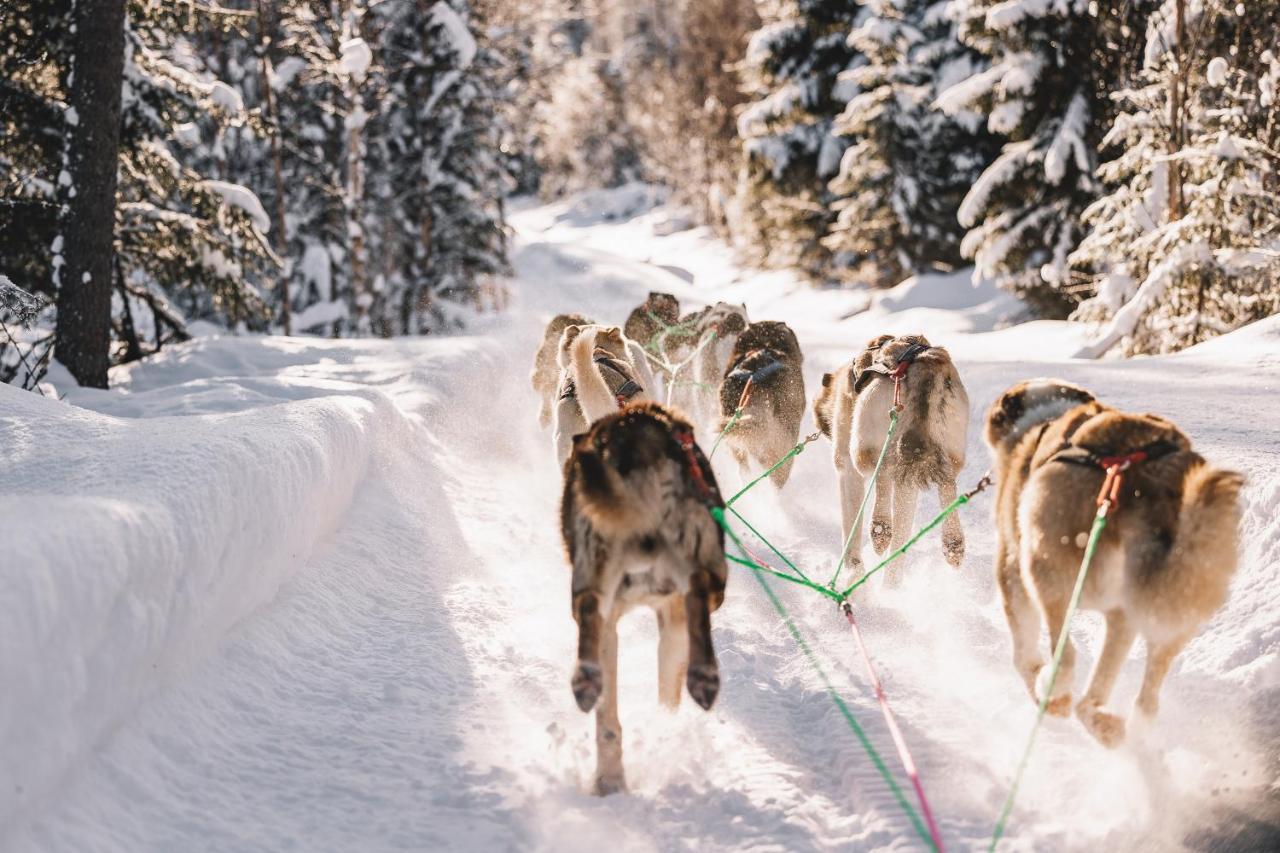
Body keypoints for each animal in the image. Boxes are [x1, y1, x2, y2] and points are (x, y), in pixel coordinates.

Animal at [563, 402, 732, 794]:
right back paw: (703, 677)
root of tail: (637, 441)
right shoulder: (670, 620)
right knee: (698, 588)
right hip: (706, 563)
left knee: (591, 610)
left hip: (598, 568)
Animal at [983, 379, 1244, 742]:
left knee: (1067, 657)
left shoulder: (1011, 572)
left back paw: (1056, 694)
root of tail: (1139, 474)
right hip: (1170, 601)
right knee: (1139, 699)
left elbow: (1023, 653)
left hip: (1044, 568)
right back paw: (1118, 731)